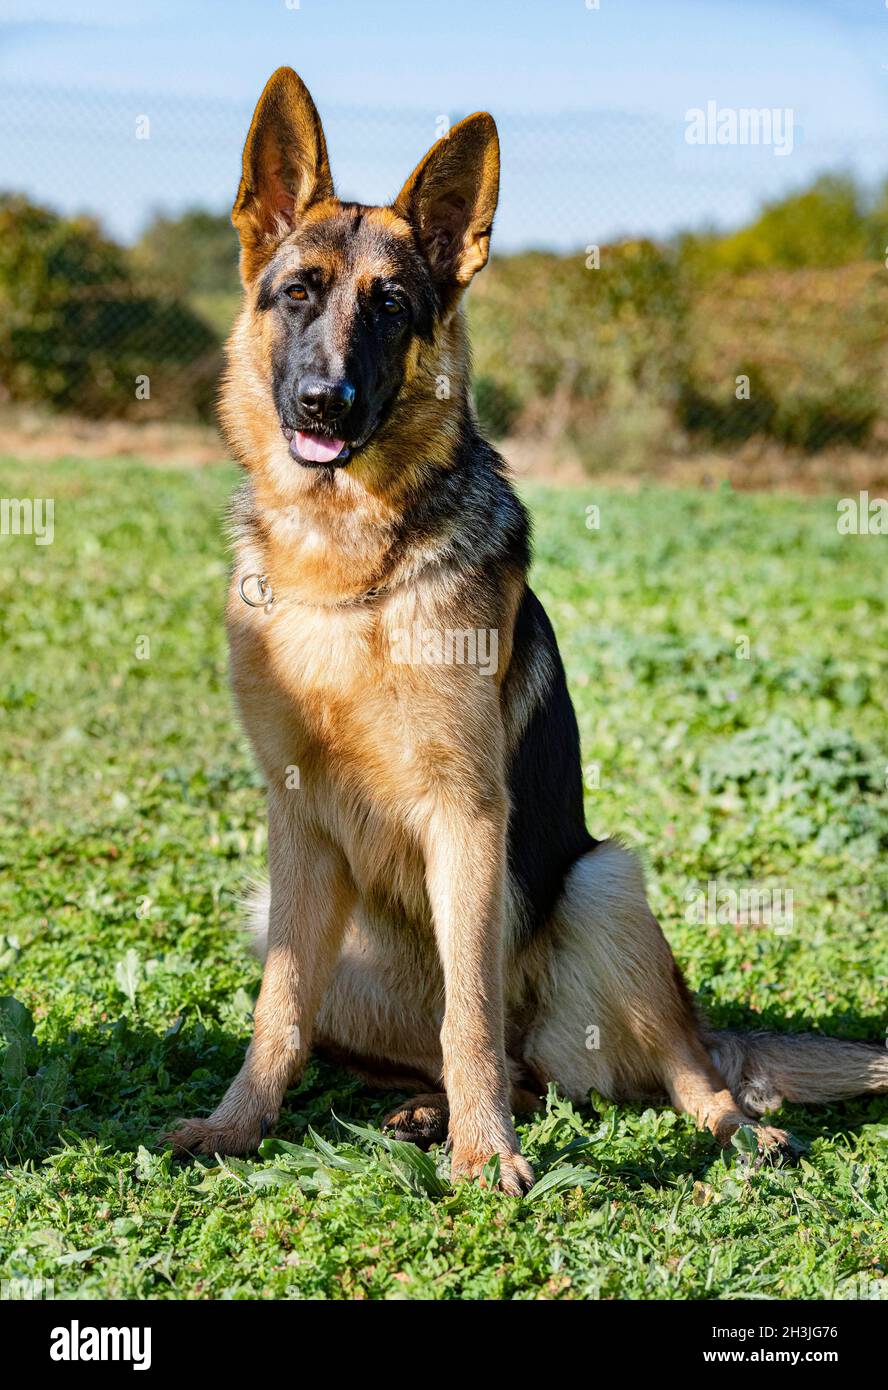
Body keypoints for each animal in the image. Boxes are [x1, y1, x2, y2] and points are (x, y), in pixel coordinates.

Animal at [166, 70, 888, 1189]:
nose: (325, 404)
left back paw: (733, 1130)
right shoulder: (295, 827)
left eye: (392, 309)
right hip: (290, 918)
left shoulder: (468, 818)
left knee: (671, 1067)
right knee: (496, 1064)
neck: (348, 567)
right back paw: (423, 1110)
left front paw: (485, 1156)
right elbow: (276, 1013)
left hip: (605, 884)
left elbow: (469, 1011)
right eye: (299, 294)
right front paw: (238, 1126)